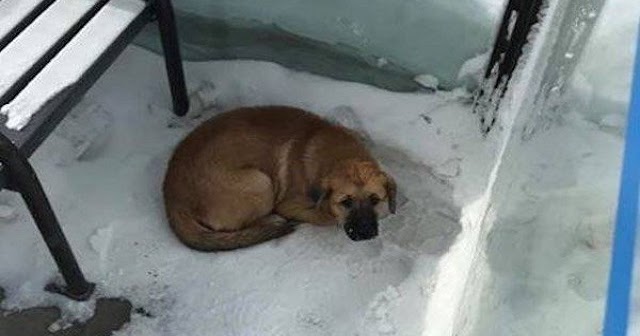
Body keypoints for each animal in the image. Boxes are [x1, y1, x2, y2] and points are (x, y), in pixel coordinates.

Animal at [161, 106, 396, 251]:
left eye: (375, 200)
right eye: (345, 202)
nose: (366, 233)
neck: (340, 153)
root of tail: (172, 196)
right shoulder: (290, 204)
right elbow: (325, 217)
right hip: (260, 182)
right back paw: (273, 220)